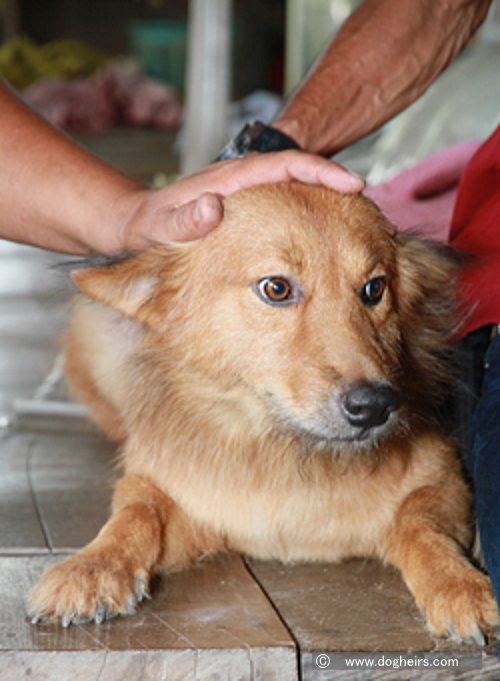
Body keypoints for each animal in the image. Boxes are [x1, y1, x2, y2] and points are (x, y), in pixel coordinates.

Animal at [29, 179, 498, 636]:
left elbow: (419, 524)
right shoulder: (178, 500)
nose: (374, 406)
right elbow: (136, 512)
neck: (283, 452)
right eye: (276, 288)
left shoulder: (445, 481)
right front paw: (92, 568)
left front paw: (459, 585)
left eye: (374, 289)